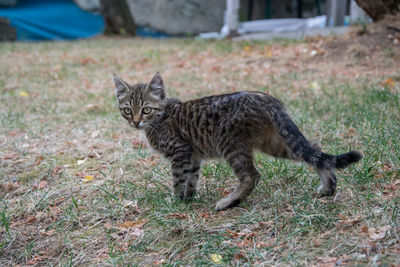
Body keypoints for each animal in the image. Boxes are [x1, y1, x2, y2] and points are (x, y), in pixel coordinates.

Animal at [113, 73, 362, 211]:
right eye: (127, 110)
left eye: (146, 110)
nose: (135, 122)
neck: (160, 119)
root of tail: (267, 98)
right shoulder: (193, 156)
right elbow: (192, 178)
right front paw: (188, 198)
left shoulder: (181, 152)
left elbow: (178, 180)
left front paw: (175, 201)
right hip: (276, 143)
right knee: (315, 152)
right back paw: (328, 188)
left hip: (230, 144)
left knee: (251, 176)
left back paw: (229, 202)